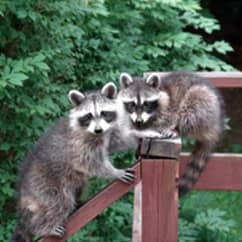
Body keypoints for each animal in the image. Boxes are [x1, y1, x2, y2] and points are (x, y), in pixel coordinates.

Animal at [10, 82, 134, 241]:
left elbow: (117, 140)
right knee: (58, 202)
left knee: (78, 186)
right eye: (88, 116)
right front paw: (114, 172)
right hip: (44, 183)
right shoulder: (79, 144)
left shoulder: (106, 133)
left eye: (104, 113)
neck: (95, 133)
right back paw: (42, 227)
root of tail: (23, 191)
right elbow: (87, 162)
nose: (98, 130)